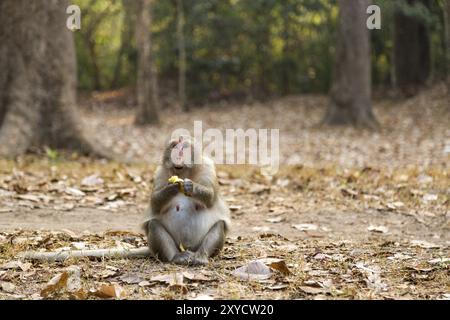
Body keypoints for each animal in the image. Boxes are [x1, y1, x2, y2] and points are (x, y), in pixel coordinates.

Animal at [18, 135, 230, 264]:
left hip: (198, 245)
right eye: (173, 146)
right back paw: (174, 258)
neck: (184, 171)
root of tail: (188, 249)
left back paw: (201, 256)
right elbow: (155, 203)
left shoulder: (207, 168)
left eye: (184, 147)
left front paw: (189, 187)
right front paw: (171, 188)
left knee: (218, 225)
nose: (178, 153)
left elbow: (211, 198)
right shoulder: (160, 172)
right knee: (154, 225)